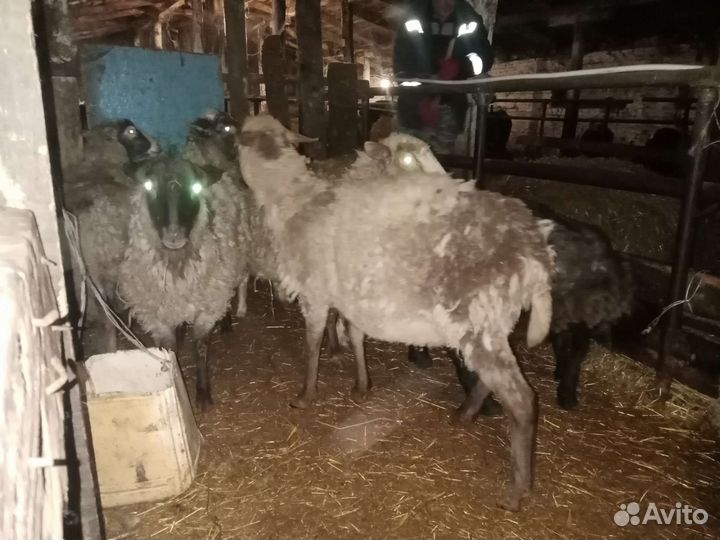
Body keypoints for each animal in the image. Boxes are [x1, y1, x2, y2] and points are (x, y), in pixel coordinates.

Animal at [118, 156, 247, 411]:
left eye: (195, 188)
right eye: (149, 186)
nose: (174, 235)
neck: (177, 265)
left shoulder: (207, 307)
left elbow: (201, 347)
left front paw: (203, 394)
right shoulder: (156, 315)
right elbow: (170, 350)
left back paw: (226, 322)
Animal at [237, 114, 555, 511]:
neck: (293, 198)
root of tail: (534, 250)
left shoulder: (315, 293)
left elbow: (311, 345)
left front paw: (305, 395)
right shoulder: (352, 297)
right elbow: (355, 335)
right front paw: (361, 385)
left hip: (479, 322)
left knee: (522, 400)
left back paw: (517, 489)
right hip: (494, 323)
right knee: (492, 379)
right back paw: (464, 414)